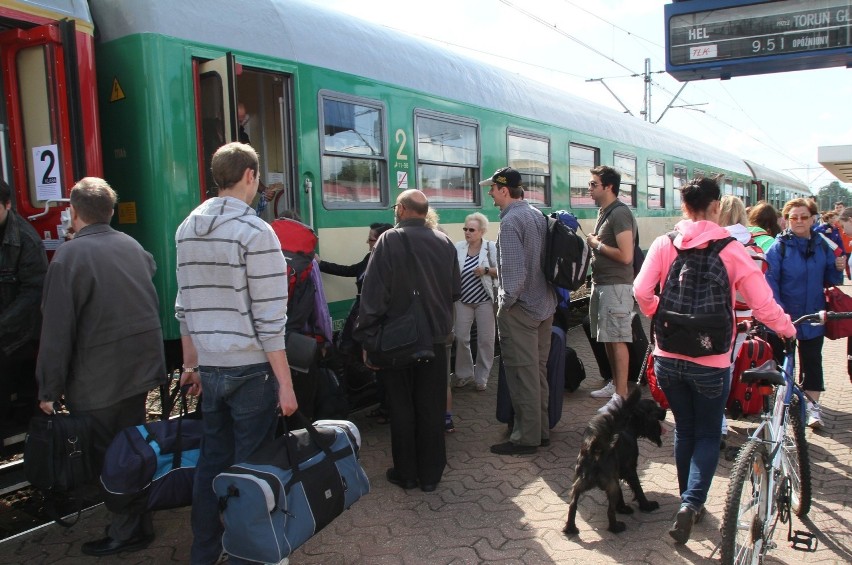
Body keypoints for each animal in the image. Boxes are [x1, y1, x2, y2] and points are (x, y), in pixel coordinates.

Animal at [564, 388, 668, 532]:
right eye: (654, 407)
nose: (665, 410)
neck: (628, 426)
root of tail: (595, 450)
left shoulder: (617, 474)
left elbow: (621, 493)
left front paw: (623, 508)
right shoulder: (630, 470)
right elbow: (638, 489)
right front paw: (647, 505)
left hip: (579, 485)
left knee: (572, 506)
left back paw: (570, 528)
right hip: (609, 486)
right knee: (609, 511)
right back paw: (616, 527)